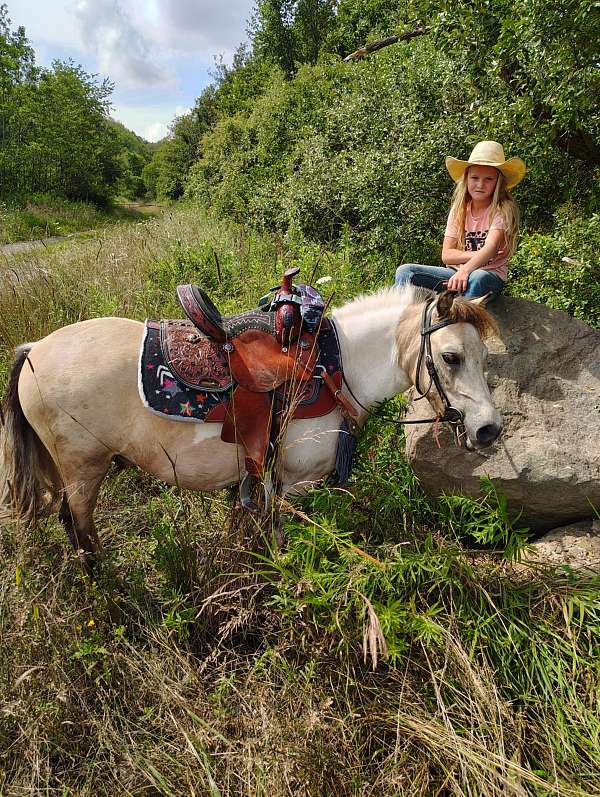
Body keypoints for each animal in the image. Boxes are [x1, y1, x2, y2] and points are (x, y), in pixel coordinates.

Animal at [0, 286, 501, 566]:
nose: (489, 430)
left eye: (485, 356)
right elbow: (280, 535)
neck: (339, 367)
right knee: (79, 526)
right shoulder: (295, 483)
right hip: (84, 470)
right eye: (451, 357)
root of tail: (34, 350)